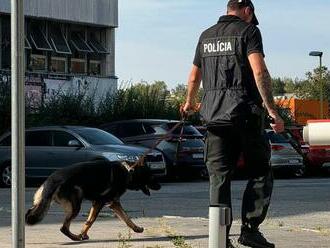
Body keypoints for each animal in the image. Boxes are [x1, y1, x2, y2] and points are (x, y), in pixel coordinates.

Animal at [25, 160, 160, 241]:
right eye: (152, 176)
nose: (160, 186)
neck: (128, 171)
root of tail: (52, 179)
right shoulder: (102, 202)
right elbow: (91, 220)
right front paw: (81, 235)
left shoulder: (110, 203)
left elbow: (126, 218)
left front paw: (136, 228)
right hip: (75, 207)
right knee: (64, 228)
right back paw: (75, 237)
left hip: (39, 203)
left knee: (29, 212)